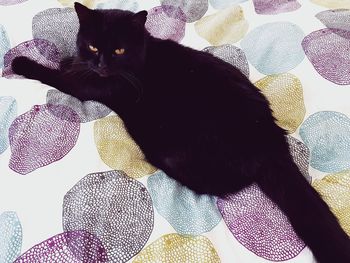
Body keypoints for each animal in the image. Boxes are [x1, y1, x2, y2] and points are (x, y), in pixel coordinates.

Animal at [10, 2, 350, 263]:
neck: (142, 55)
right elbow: (73, 66)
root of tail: (270, 138)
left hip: (183, 148)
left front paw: (23, 63)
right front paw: (70, 59)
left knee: (221, 184)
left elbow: (60, 77)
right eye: (93, 45)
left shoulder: (96, 87)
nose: (102, 64)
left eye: (119, 50)